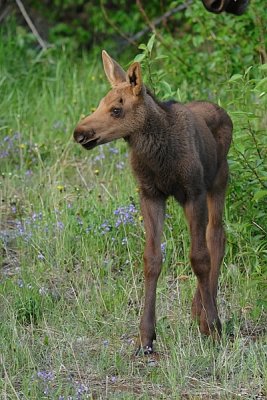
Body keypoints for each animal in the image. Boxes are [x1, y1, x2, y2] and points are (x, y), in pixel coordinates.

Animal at [74, 50, 233, 354]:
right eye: (100, 103)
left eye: (116, 109)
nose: (79, 133)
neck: (159, 158)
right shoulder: (150, 194)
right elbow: (152, 259)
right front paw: (146, 336)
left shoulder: (193, 192)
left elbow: (199, 258)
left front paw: (214, 327)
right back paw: (197, 310)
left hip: (218, 181)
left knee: (216, 236)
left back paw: (205, 314)